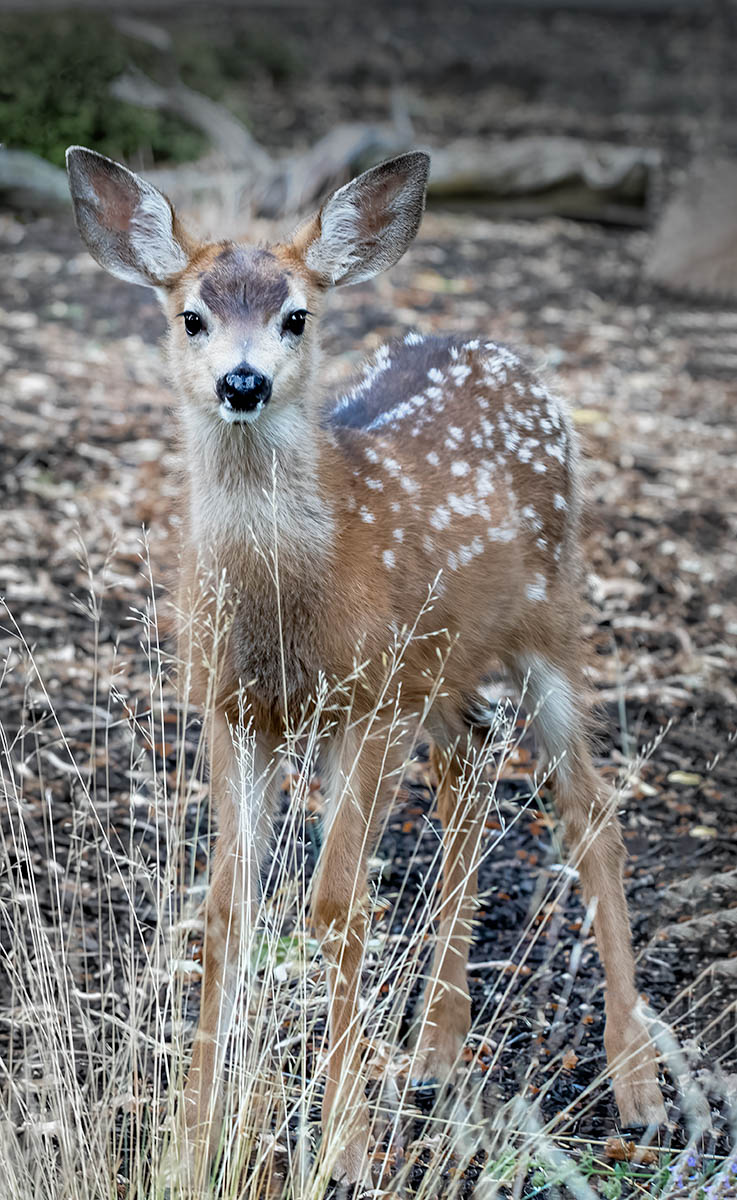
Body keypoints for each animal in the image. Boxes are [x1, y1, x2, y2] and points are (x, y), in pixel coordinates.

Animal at [66, 145, 672, 1185]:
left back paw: (636, 1088)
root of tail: (505, 354)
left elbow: (339, 905)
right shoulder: (232, 709)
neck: (289, 609)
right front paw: (189, 1147)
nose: (241, 382)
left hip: (547, 626)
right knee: (472, 767)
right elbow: (224, 911)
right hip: (439, 670)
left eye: (296, 315)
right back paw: (434, 1049)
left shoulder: (366, 702)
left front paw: (345, 1145)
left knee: (590, 813)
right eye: (191, 316)